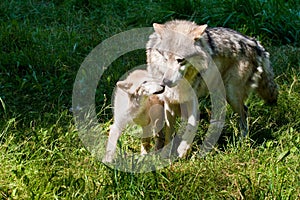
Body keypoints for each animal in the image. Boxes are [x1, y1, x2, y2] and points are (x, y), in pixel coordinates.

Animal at [146, 19, 278, 158]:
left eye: (180, 60)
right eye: (165, 59)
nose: (166, 82)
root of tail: (255, 43)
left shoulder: (193, 101)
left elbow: (190, 127)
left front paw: (182, 151)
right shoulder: (169, 103)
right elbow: (168, 132)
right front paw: (164, 156)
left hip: (231, 93)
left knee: (244, 113)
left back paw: (242, 142)